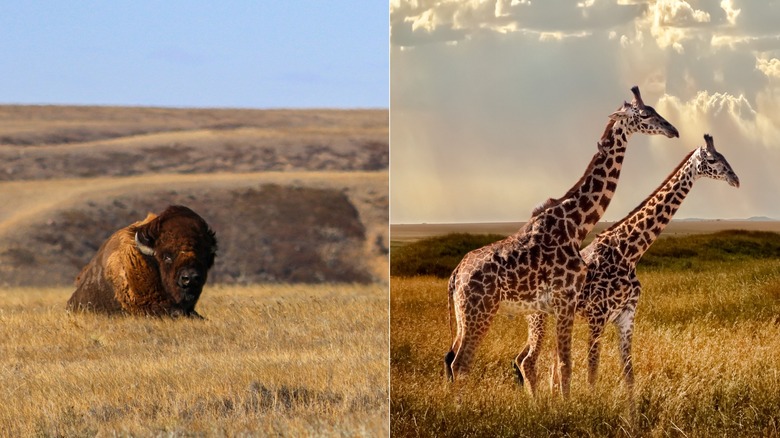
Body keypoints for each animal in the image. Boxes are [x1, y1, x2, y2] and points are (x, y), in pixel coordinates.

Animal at [442, 86, 680, 396]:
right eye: (643, 114)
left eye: (653, 110)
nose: (673, 129)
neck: (575, 224)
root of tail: (455, 275)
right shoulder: (566, 298)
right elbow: (565, 365)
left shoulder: (563, 303)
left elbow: (562, 364)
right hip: (479, 312)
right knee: (462, 363)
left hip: (464, 316)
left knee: (451, 360)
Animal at [516, 135, 740, 392]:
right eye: (712, 159)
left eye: (725, 156)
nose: (735, 179)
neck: (628, 252)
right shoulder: (597, 315)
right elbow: (592, 371)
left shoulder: (627, 314)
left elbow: (629, 374)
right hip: (537, 316)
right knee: (528, 361)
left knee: (542, 361)